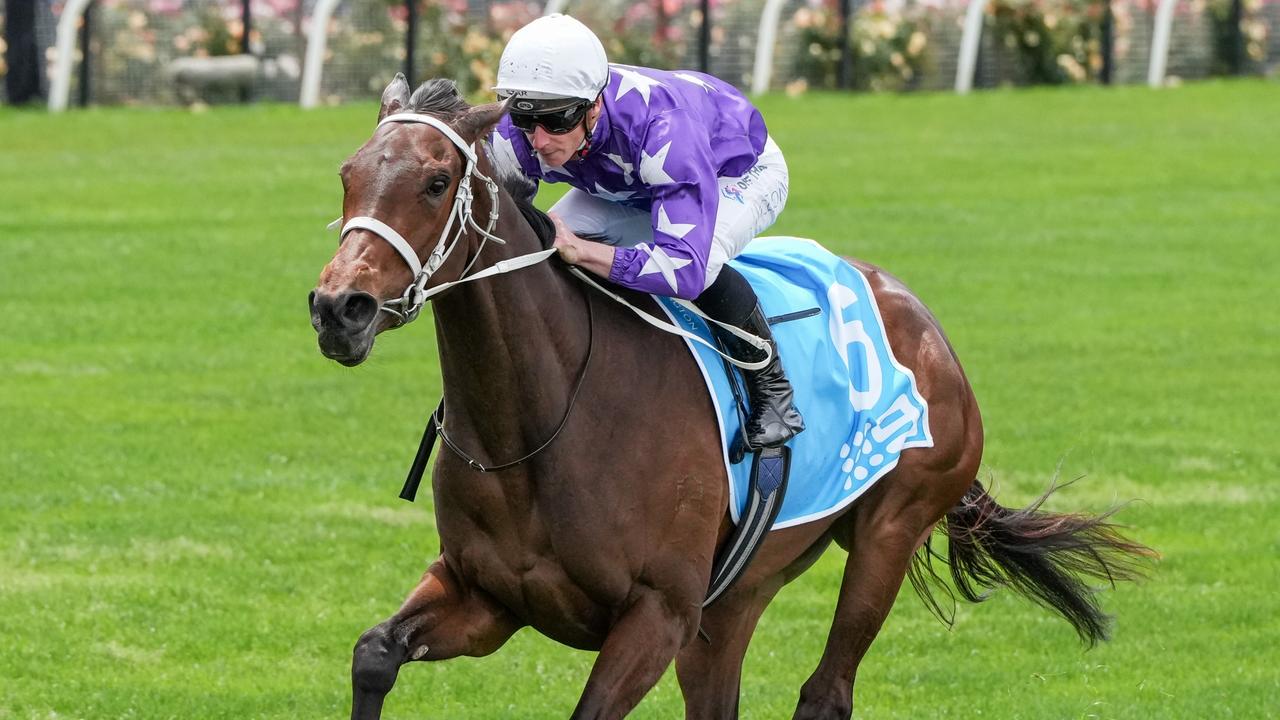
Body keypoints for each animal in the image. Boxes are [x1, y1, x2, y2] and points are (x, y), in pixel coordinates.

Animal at [307, 75, 1152, 712]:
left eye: (435, 181)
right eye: (348, 174)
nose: (339, 309)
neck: (540, 421)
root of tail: (923, 323)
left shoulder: (657, 616)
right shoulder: (488, 596)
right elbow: (372, 653)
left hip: (889, 530)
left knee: (826, 691)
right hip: (739, 598)